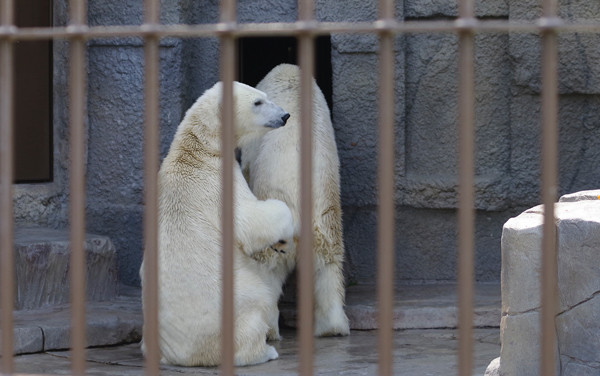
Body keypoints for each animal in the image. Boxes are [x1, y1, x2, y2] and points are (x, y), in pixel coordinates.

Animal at [138, 81, 292, 366]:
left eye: (265, 97)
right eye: (258, 102)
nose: (285, 115)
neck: (198, 149)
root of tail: (188, 356)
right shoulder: (217, 182)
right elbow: (251, 220)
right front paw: (284, 236)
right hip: (238, 303)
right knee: (257, 303)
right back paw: (266, 350)